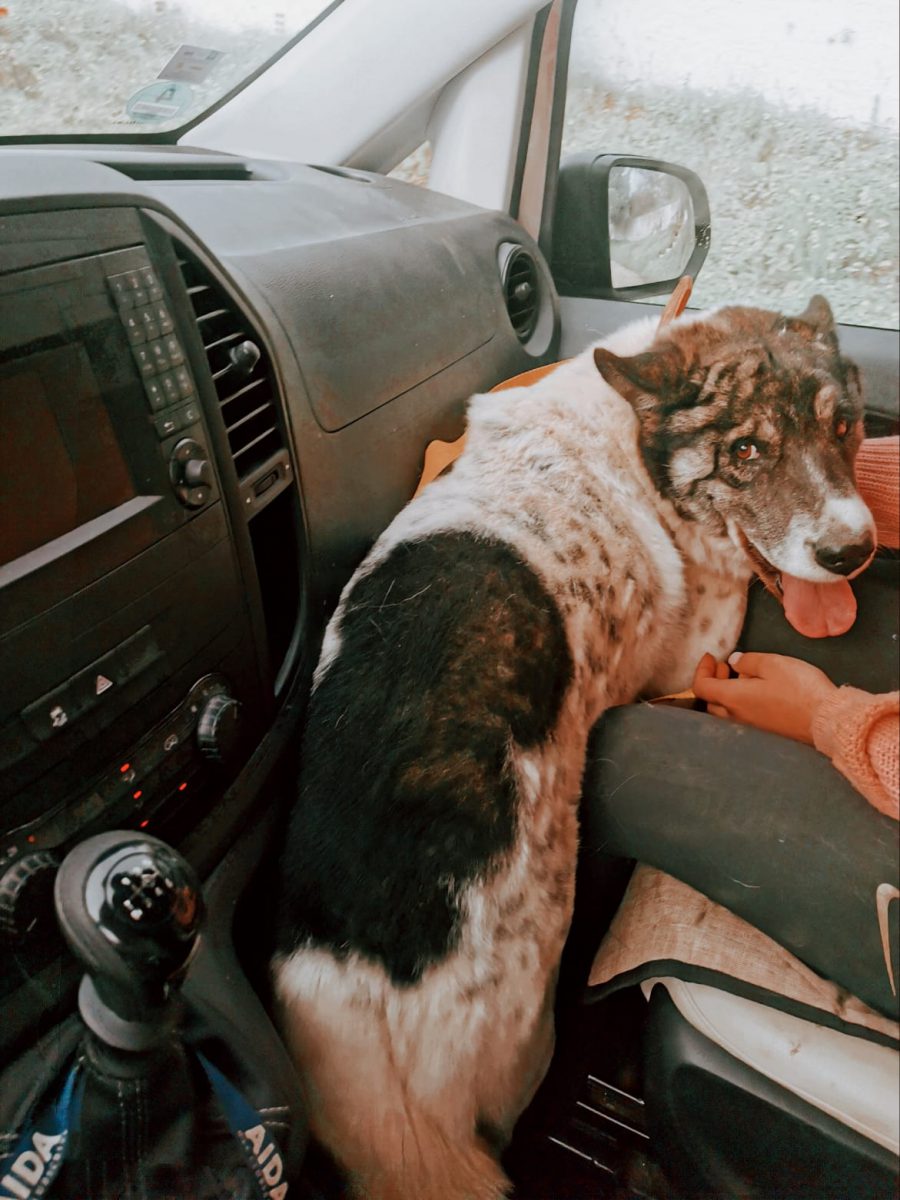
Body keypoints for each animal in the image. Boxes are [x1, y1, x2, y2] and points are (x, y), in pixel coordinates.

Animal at [272, 296, 875, 1199]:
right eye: (745, 451)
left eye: (844, 427)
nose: (854, 551)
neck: (625, 432)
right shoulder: (695, 652)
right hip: (528, 1033)